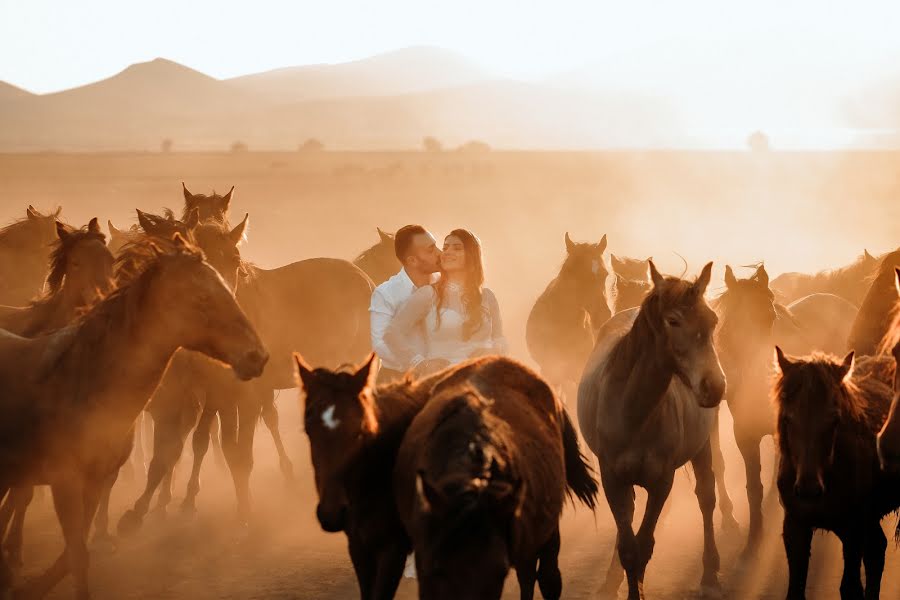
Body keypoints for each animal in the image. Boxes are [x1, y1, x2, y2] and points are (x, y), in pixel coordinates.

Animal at [0, 234, 268, 600]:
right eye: (201, 297)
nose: (257, 356)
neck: (82, 382)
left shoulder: (93, 483)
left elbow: (72, 555)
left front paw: (29, 587)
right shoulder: (65, 481)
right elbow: (77, 555)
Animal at [576, 262, 732, 600]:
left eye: (712, 320)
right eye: (673, 321)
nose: (714, 386)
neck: (633, 412)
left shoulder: (662, 482)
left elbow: (644, 545)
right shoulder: (612, 478)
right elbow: (629, 546)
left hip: (703, 446)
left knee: (706, 497)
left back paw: (710, 572)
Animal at [772, 350, 900, 596]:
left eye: (835, 420)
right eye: (787, 419)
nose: (809, 490)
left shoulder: (853, 531)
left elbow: (850, 587)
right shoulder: (795, 527)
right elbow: (795, 589)